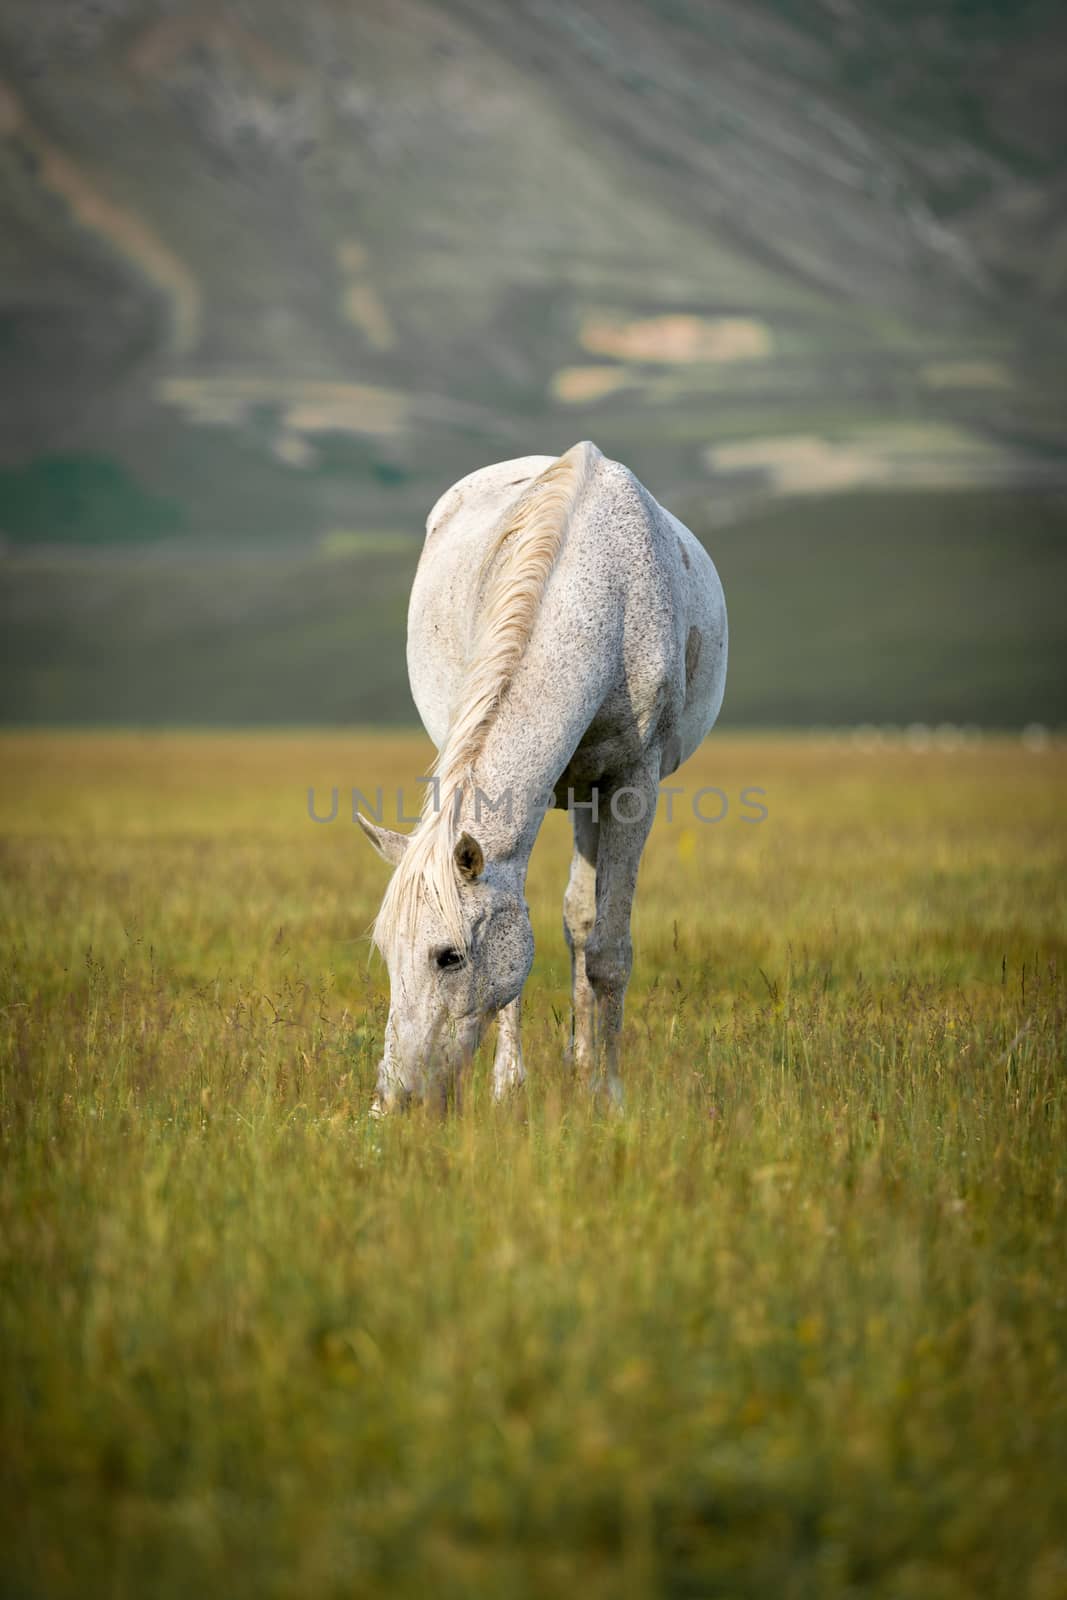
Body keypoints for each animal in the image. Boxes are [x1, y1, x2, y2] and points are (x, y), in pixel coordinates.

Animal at [358, 438, 726, 1113]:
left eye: (448, 957)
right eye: (386, 953)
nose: (392, 1103)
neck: (600, 594)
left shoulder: (632, 786)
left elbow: (608, 949)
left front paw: (608, 1093)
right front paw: (508, 1087)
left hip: (588, 796)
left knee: (582, 925)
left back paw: (583, 1065)